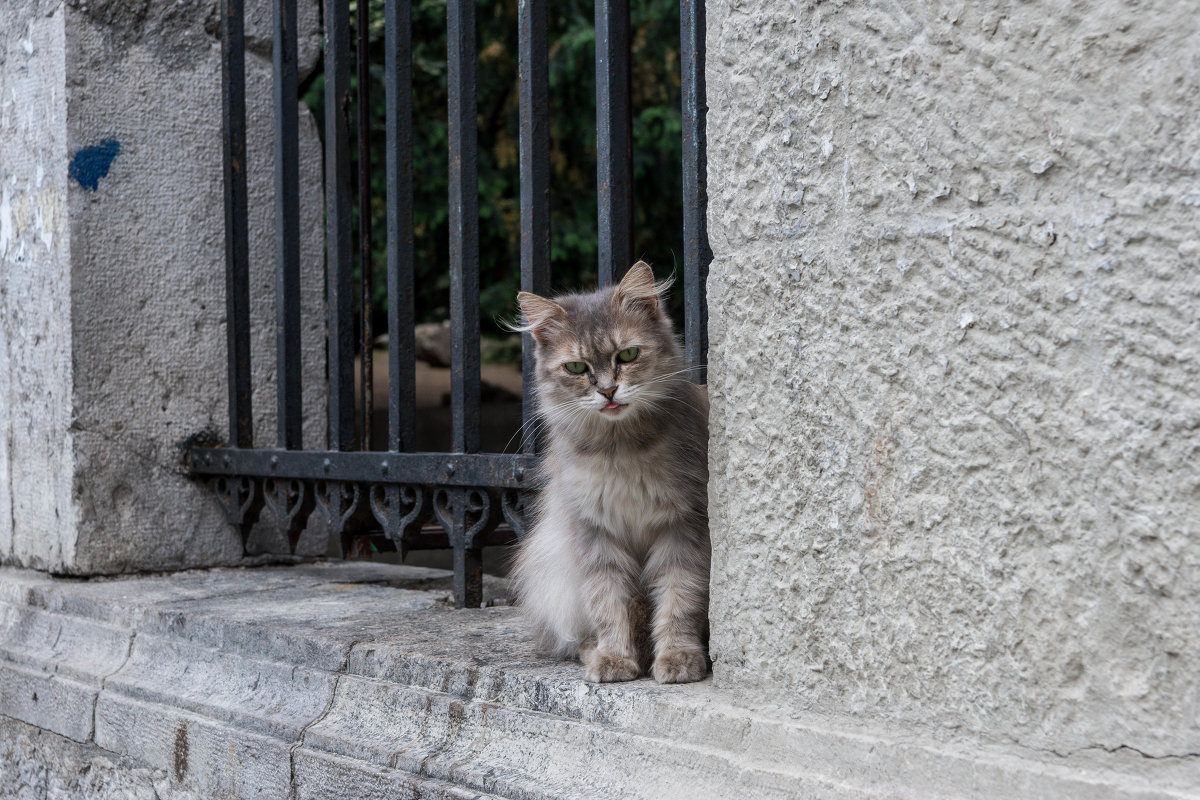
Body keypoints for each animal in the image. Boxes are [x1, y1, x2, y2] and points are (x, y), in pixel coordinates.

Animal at [511, 261, 705, 681]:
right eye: (575, 367)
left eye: (627, 355)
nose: (608, 392)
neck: (621, 452)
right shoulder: (595, 533)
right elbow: (607, 603)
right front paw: (615, 659)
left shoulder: (683, 528)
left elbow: (679, 601)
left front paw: (677, 658)